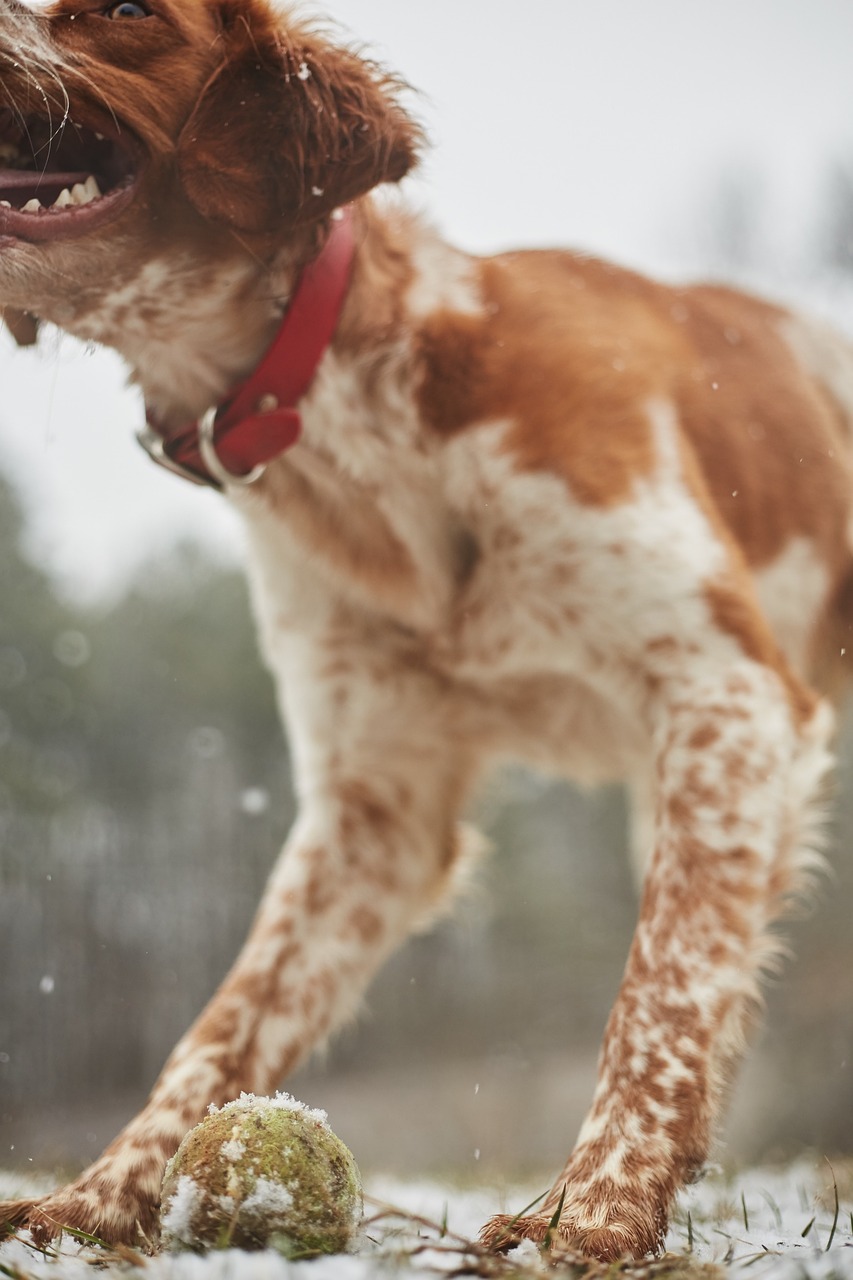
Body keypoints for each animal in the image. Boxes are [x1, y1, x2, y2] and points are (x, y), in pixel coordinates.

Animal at [1, 0, 850, 1259]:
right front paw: (99, 1198)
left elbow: (658, 984)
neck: (356, 411)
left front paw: (594, 1213)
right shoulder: (376, 807)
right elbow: (225, 1021)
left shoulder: (728, 693)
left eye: (125, 11)